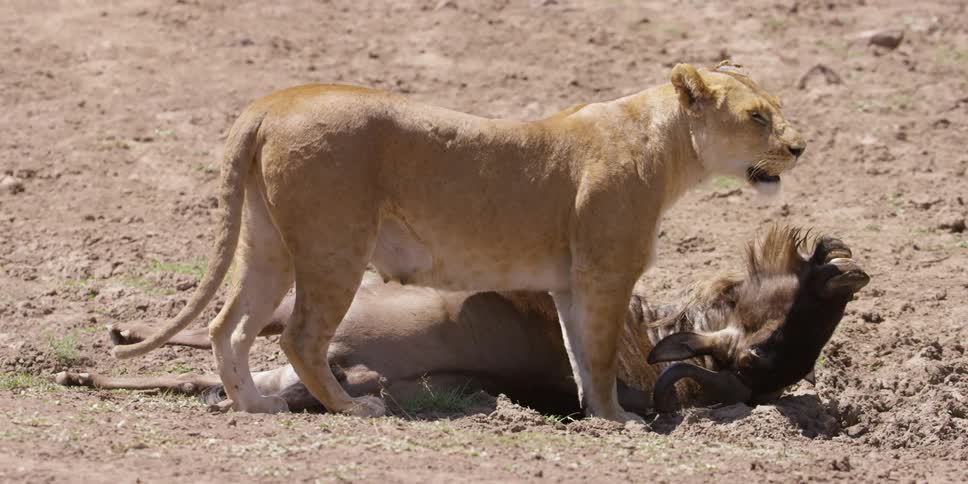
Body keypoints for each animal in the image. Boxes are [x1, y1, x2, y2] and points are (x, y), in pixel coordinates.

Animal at [112, 61, 806, 422]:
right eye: (756, 117)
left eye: (778, 107)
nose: (799, 147)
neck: (667, 146)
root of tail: (274, 102)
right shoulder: (607, 273)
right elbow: (604, 355)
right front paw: (620, 420)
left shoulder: (569, 283)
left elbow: (581, 355)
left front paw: (597, 417)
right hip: (334, 245)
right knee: (299, 336)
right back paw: (352, 409)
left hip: (268, 244)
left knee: (228, 325)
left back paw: (256, 405)